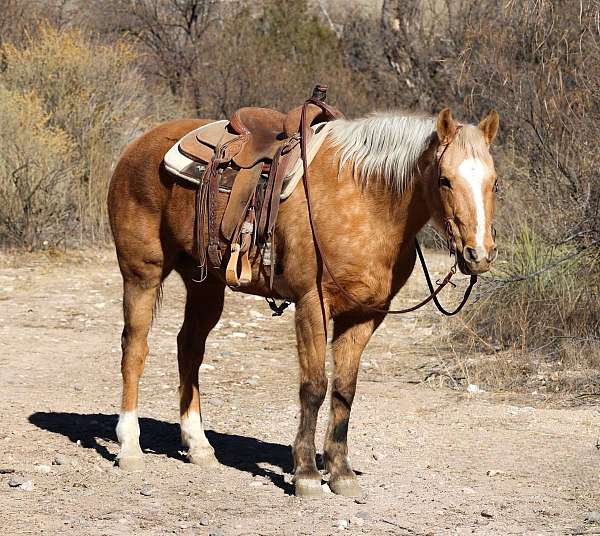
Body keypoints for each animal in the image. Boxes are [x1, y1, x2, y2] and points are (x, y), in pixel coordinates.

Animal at [106, 107, 496, 496]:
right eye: (445, 180)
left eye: (493, 182)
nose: (478, 254)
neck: (366, 200)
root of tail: (137, 146)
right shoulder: (312, 304)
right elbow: (314, 387)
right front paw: (307, 473)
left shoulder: (365, 316)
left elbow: (344, 391)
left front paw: (341, 472)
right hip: (142, 274)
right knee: (134, 349)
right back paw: (130, 447)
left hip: (204, 284)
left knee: (189, 348)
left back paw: (199, 446)